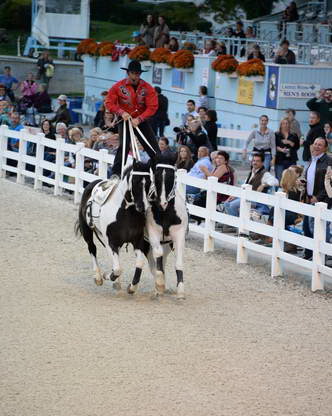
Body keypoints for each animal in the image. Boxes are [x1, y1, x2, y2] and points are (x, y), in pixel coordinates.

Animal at [76, 162, 152, 290]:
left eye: (150, 182)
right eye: (135, 181)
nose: (142, 206)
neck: (126, 212)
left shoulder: (137, 241)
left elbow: (139, 263)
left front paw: (132, 287)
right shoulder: (112, 242)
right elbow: (117, 269)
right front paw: (107, 276)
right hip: (86, 230)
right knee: (92, 248)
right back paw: (98, 277)